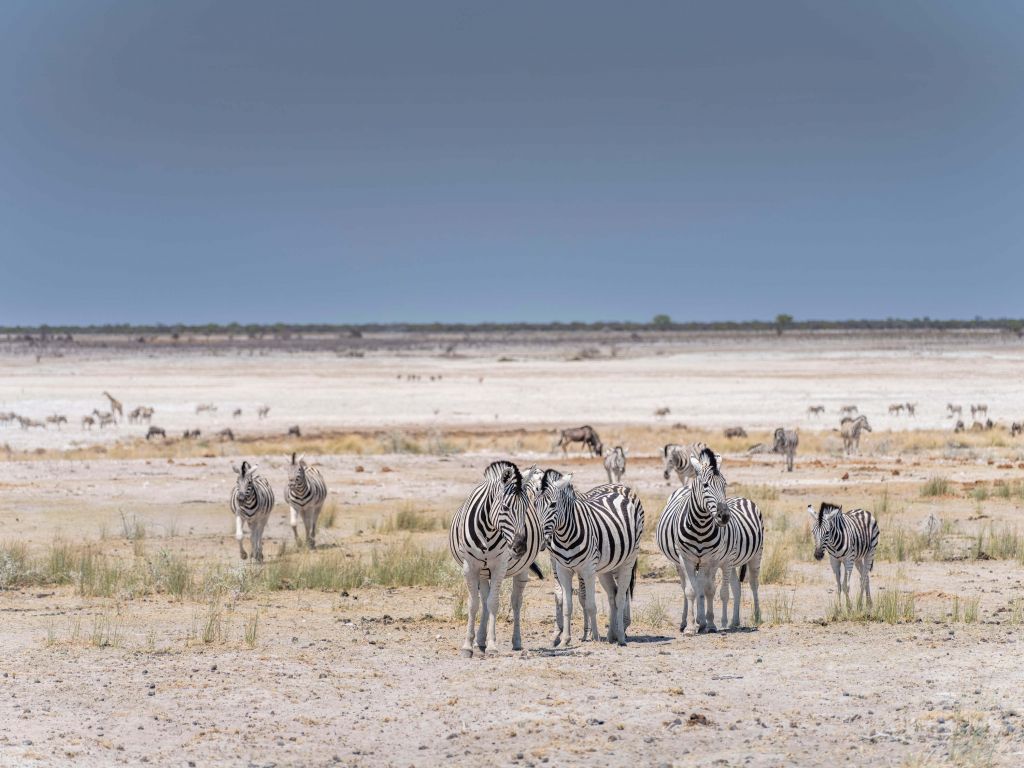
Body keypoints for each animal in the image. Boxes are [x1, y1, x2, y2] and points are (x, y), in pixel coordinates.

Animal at [448, 460, 532, 656]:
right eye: (505, 508)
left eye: (526, 508)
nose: (520, 548)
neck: (488, 529)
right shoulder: (470, 567)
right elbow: (474, 604)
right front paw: (467, 645)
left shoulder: (499, 566)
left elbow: (493, 603)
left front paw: (493, 645)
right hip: (482, 572)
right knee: (483, 600)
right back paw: (480, 640)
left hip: (521, 570)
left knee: (516, 602)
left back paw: (516, 641)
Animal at [535, 472, 644, 646]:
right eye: (534, 504)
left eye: (553, 505)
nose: (541, 541)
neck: (565, 537)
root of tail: (620, 490)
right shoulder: (563, 569)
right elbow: (567, 605)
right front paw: (564, 639)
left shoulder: (587, 570)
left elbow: (590, 604)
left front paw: (595, 637)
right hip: (605, 568)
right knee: (613, 595)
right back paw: (612, 634)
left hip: (627, 560)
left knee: (621, 597)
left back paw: (620, 635)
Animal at [656, 449, 764, 633]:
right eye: (705, 485)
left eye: (724, 485)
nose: (724, 516)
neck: (700, 527)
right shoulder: (686, 559)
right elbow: (691, 590)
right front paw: (691, 626)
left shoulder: (713, 560)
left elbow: (710, 590)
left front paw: (711, 623)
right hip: (685, 563)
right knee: (690, 586)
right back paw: (690, 622)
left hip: (755, 555)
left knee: (752, 584)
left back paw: (754, 617)